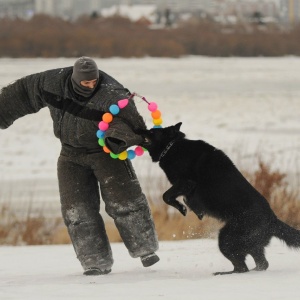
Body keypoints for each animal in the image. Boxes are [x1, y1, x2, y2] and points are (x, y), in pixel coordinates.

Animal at [140, 123, 300, 276]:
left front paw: (183, 208)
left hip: (226, 238)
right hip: (249, 244)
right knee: (261, 264)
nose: (138, 129)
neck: (173, 146)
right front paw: (194, 210)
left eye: (152, 131)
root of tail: (273, 220)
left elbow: (166, 196)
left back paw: (223, 274)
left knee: (242, 268)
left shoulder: (185, 183)